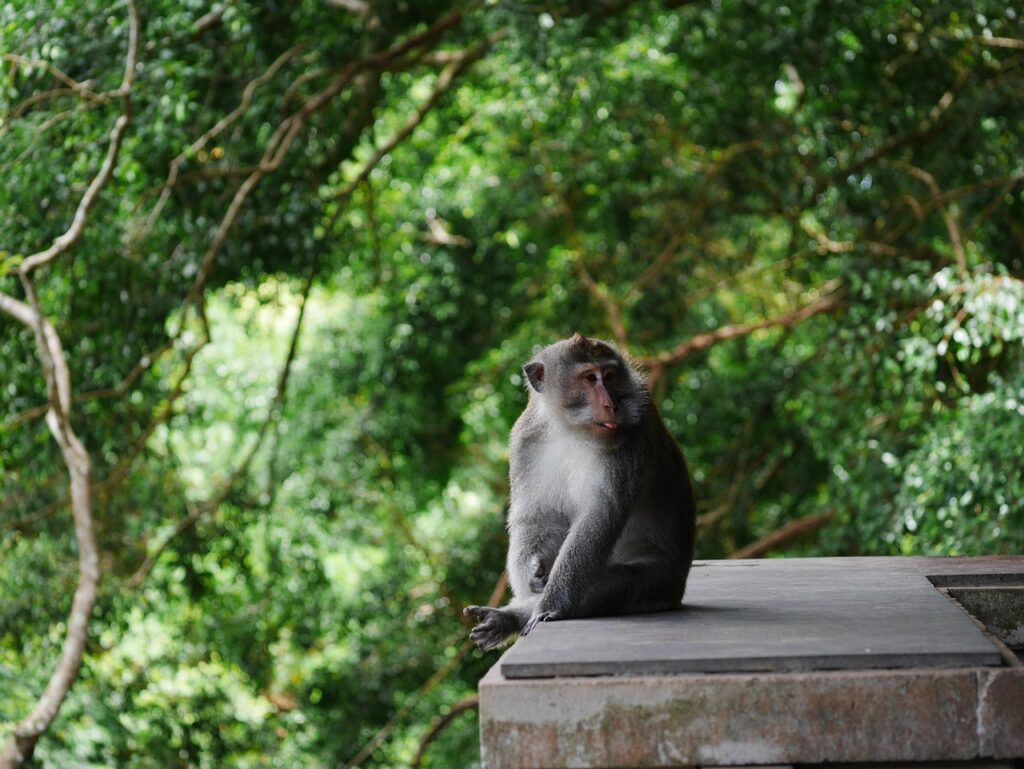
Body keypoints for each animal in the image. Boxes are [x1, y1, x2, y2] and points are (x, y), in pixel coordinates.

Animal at [464, 333, 696, 651]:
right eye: (589, 378)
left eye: (609, 376)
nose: (612, 404)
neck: (572, 431)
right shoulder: (525, 438)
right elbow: (536, 516)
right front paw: (533, 569)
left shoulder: (631, 437)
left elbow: (600, 517)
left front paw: (549, 605)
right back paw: (507, 618)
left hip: (661, 582)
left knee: (610, 585)